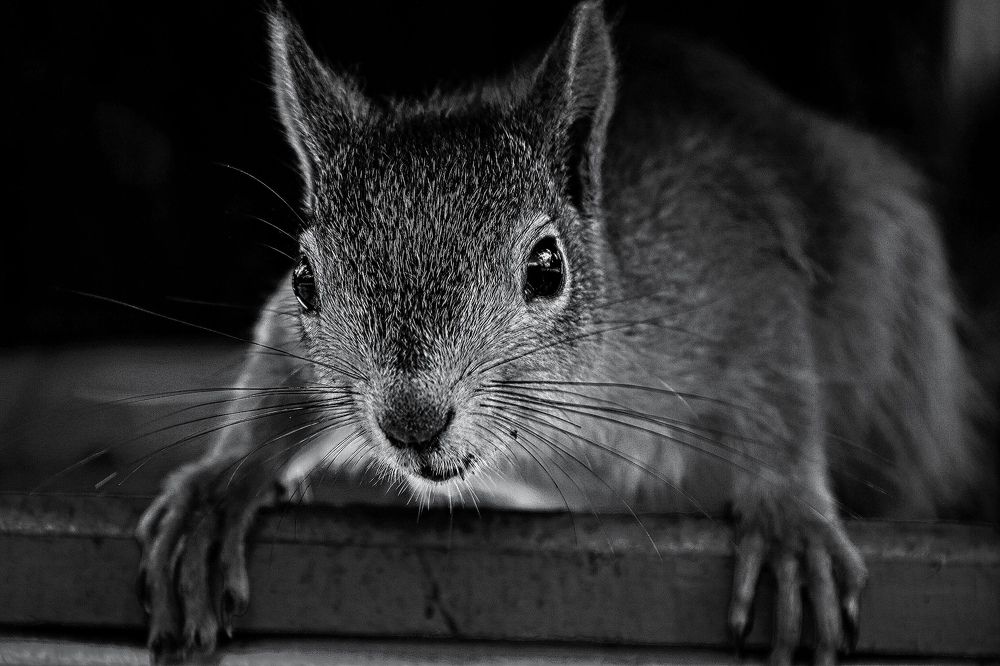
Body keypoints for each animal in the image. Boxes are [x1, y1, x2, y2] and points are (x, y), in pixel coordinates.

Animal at [136, 2, 995, 664]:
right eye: (306, 280)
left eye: (547, 268)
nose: (411, 420)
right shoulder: (298, 342)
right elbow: (276, 374)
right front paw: (217, 490)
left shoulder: (736, 284)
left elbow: (778, 394)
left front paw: (789, 523)